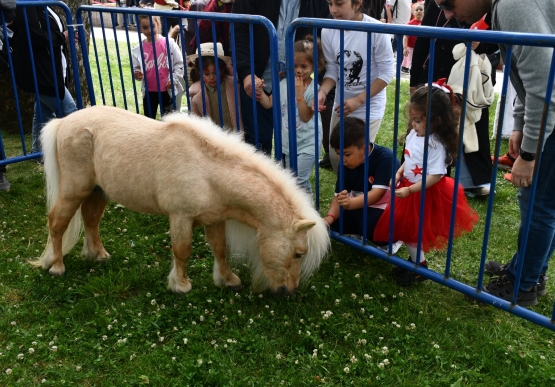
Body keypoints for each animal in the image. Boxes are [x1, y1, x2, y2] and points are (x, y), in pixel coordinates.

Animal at [31, 104, 330, 296]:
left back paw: (98, 255)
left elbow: (220, 250)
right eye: (298, 253)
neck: (207, 172)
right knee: (57, 222)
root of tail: (63, 122)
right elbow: (182, 250)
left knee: (91, 219)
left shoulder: (215, 219)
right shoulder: (180, 217)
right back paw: (56, 266)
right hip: (74, 190)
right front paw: (181, 285)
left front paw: (228, 280)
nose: (288, 291)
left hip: (97, 191)